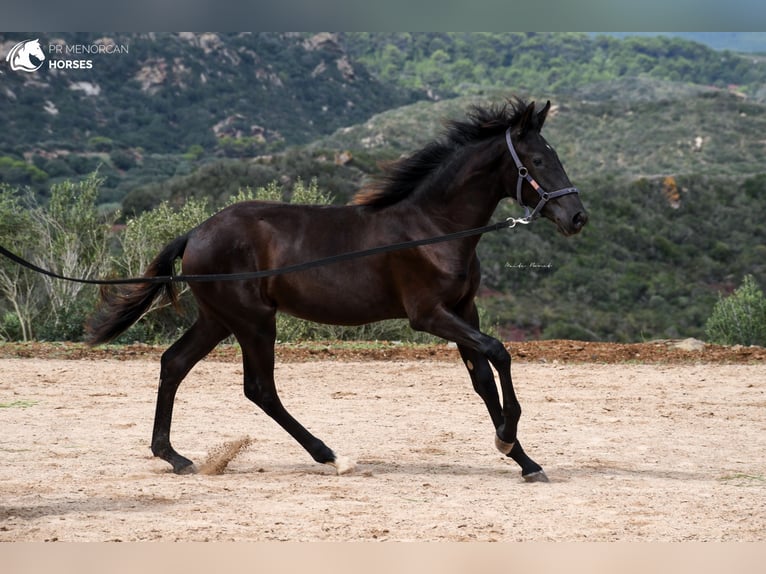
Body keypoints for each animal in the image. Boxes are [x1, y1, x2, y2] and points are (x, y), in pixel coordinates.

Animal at [91, 99, 592, 482]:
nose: (577, 218)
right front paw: (506, 437)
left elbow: (483, 379)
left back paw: (175, 457)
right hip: (253, 321)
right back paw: (331, 456)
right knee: (260, 388)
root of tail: (195, 232)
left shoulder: (464, 310)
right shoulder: (429, 314)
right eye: (539, 161)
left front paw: (524, 460)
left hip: (217, 319)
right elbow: (500, 352)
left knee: (174, 363)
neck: (434, 228)